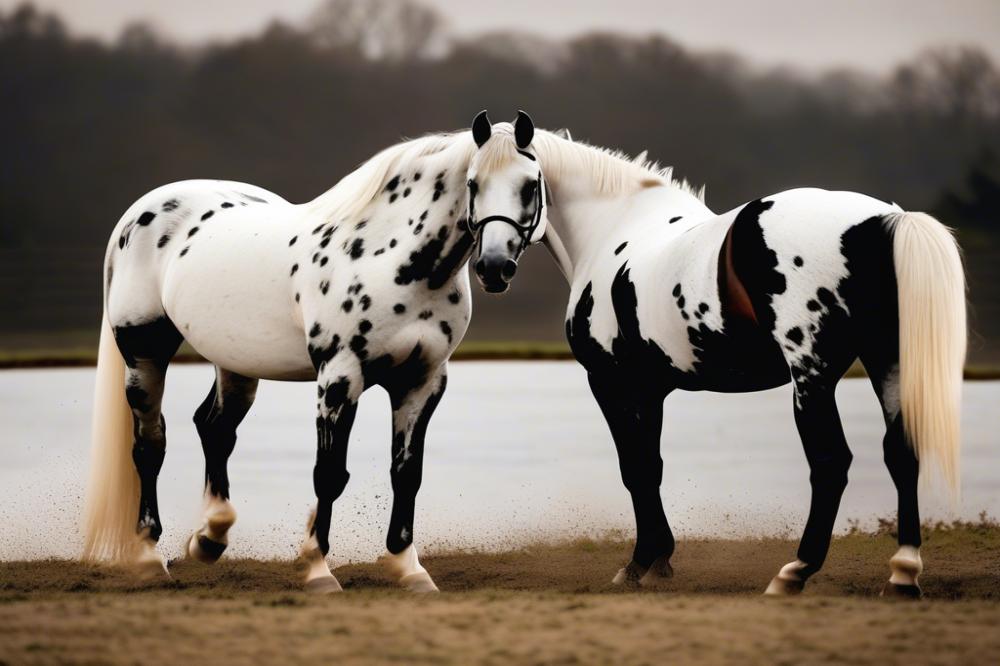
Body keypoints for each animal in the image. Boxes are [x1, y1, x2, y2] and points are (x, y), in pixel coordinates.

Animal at [84, 130, 494, 592]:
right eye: (476, 182)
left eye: (531, 182)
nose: (497, 265)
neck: (389, 258)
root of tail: (135, 215)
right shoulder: (339, 378)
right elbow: (329, 474)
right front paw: (318, 570)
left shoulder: (423, 380)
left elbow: (406, 472)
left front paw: (409, 569)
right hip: (144, 355)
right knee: (150, 444)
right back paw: (150, 555)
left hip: (236, 364)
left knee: (214, 429)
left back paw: (209, 538)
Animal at [464, 110, 964, 596]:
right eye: (472, 183)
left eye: (530, 185)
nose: (493, 268)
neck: (615, 230)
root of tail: (879, 222)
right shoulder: (650, 390)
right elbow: (651, 466)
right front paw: (659, 559)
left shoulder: (610, 383)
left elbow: (634, 469)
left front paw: (638, 564)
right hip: (888, 363)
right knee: (901, 453)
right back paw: (903, 573)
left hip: (812, 376)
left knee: (831, 463)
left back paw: (795, 571)